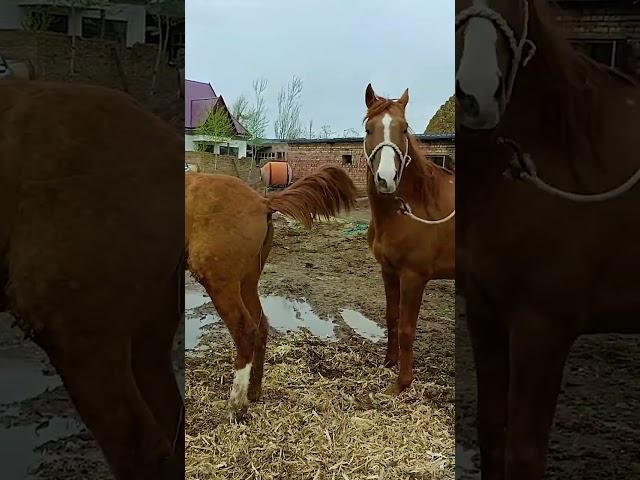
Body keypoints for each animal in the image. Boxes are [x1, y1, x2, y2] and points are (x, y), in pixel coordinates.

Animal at [185, 167, 358, 410]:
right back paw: (253, 392)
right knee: (261, 326)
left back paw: (236, 404)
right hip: (247, 283)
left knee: (246, 331)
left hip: (220, 281)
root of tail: (262, 202)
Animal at [364, 84, 456, 394]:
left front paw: (401, 384)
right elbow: (392, 318)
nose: (386, 179)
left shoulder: (414, 276)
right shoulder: (389, 271)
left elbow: (407, 328)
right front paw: (388, 363)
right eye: (368, 129)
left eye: (403, 129)